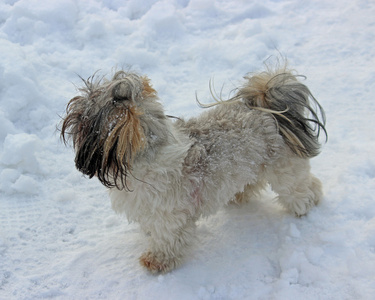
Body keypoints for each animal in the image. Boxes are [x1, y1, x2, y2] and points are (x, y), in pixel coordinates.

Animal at [60, 64, 328, 274]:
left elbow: (167, 239)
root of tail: (268, 112)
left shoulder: (169, 216)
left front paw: (157, 260)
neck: (149, 154)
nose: (74, 102)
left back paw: (307, 205)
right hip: (251, 165)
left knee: (304, 188)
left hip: (286, 172)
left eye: (89, 109)